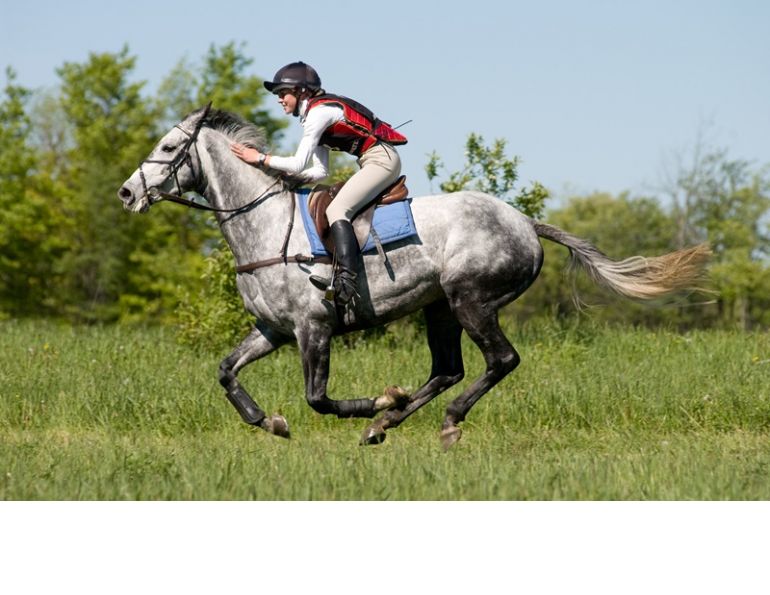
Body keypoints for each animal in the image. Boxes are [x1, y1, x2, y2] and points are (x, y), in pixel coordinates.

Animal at [118, 105, 710, 450]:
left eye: (168, 149)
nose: (126, 193)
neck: (265, 227)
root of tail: (525, 222)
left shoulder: (313, 329)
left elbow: (318, 398)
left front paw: (375, 402)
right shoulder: (273, 330)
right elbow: (226, 372)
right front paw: (269, 421)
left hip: (471, 300)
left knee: (499, 361)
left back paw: (436, 421)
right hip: (439, 307)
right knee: (448, 369)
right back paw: (387, 425)